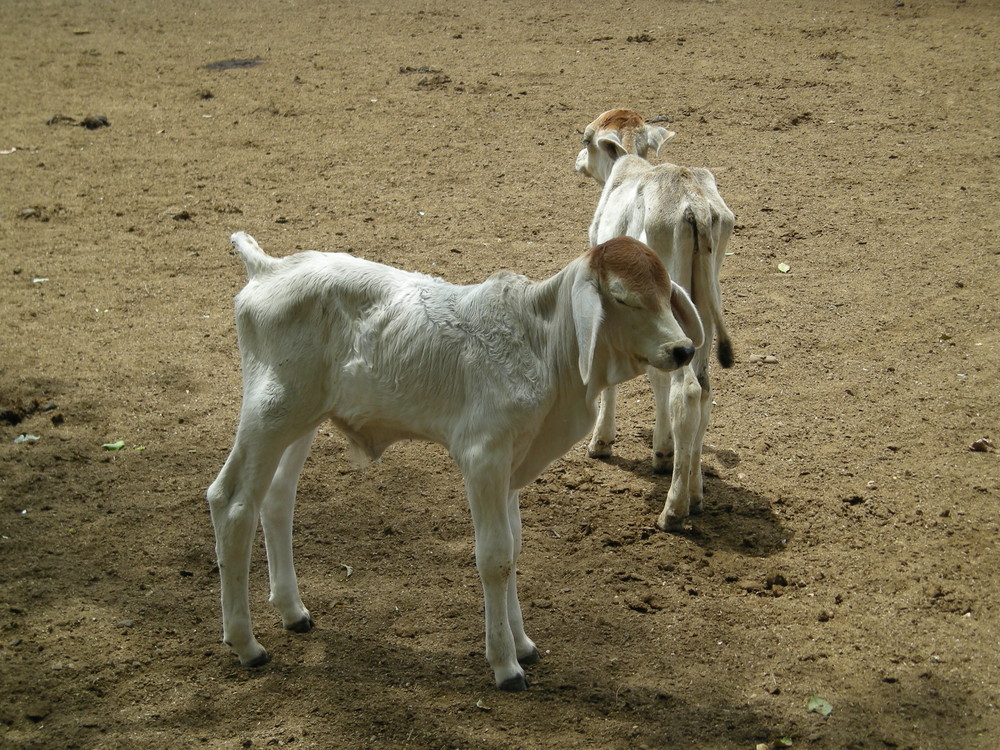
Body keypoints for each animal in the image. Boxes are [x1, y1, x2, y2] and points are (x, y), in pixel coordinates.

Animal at [207, 232, 700, 692]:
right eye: (622, 296)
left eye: (665, 291)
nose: (683, 349)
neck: (542, 344)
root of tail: (268, 269)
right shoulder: (484, 457)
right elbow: (495, 556)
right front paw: (505, 663)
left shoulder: (512, 467)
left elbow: (515, 547)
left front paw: (523, 642)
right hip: (270, 412)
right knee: (231, 502)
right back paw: (246, 643)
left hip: (303, 417)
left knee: (276, 499)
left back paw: (293, 611)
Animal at [572, 108, 736, 532]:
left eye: (586, 140)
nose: (577, 161)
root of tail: (695, 205)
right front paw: (662, 451)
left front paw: (601, 441)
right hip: (702, 305)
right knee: (703, 389)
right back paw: (695, 492)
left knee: (688, 390)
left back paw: (673, 510)